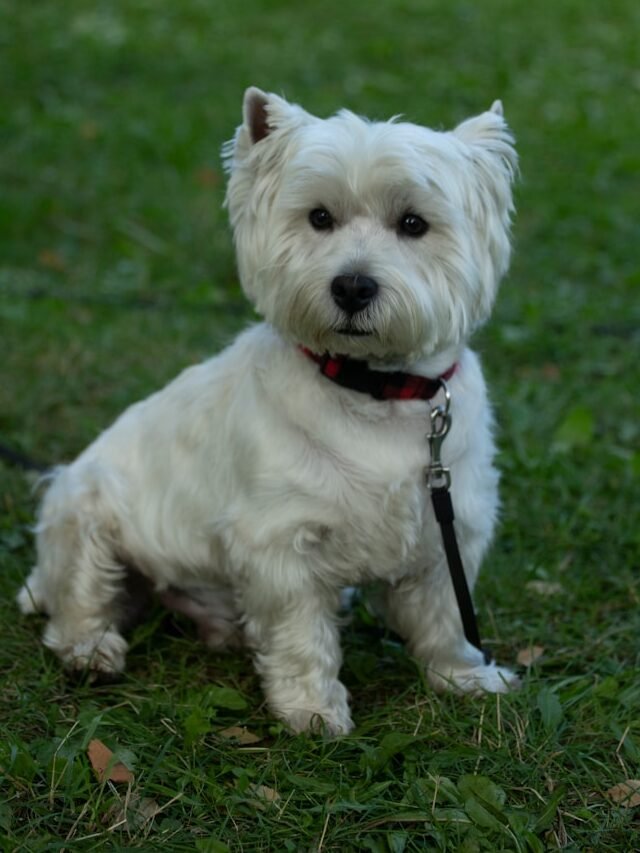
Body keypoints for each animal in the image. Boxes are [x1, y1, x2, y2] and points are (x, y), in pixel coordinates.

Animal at [18, 90, 520, 736]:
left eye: (413, 223)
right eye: (319, 218)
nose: (352, 287)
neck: (373, 390)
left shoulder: (448, 526)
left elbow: (447, 616)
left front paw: (466, 678)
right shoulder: (281, 543)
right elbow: (300, 635)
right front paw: (312, 711)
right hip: (83, 509)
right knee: (80, 599)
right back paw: (91, 651)